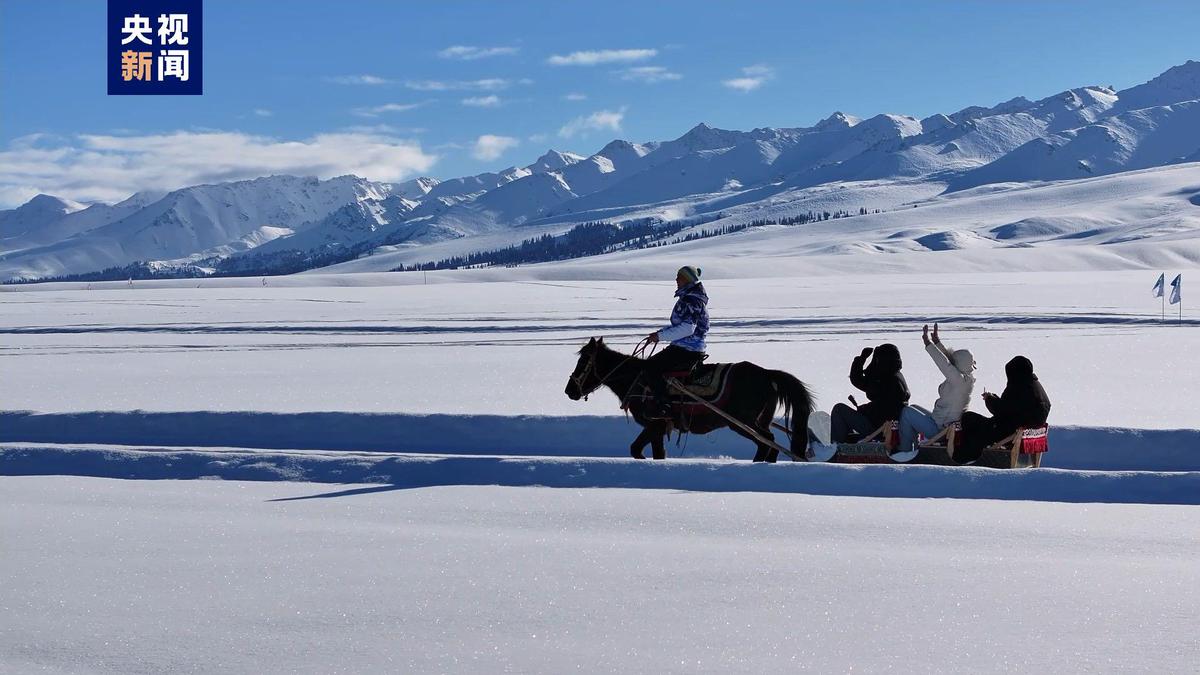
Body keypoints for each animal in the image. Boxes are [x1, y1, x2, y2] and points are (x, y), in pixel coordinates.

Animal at [564, 333, 816, 458]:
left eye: (583, 362)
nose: (569, 391)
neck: (635, 378)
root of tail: (766, 374)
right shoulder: (659, 428)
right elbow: (655, 453)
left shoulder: (655, 424)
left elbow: (636, 449)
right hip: (758, 420)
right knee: (771, 445)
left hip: (743, 422)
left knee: (767, 443)